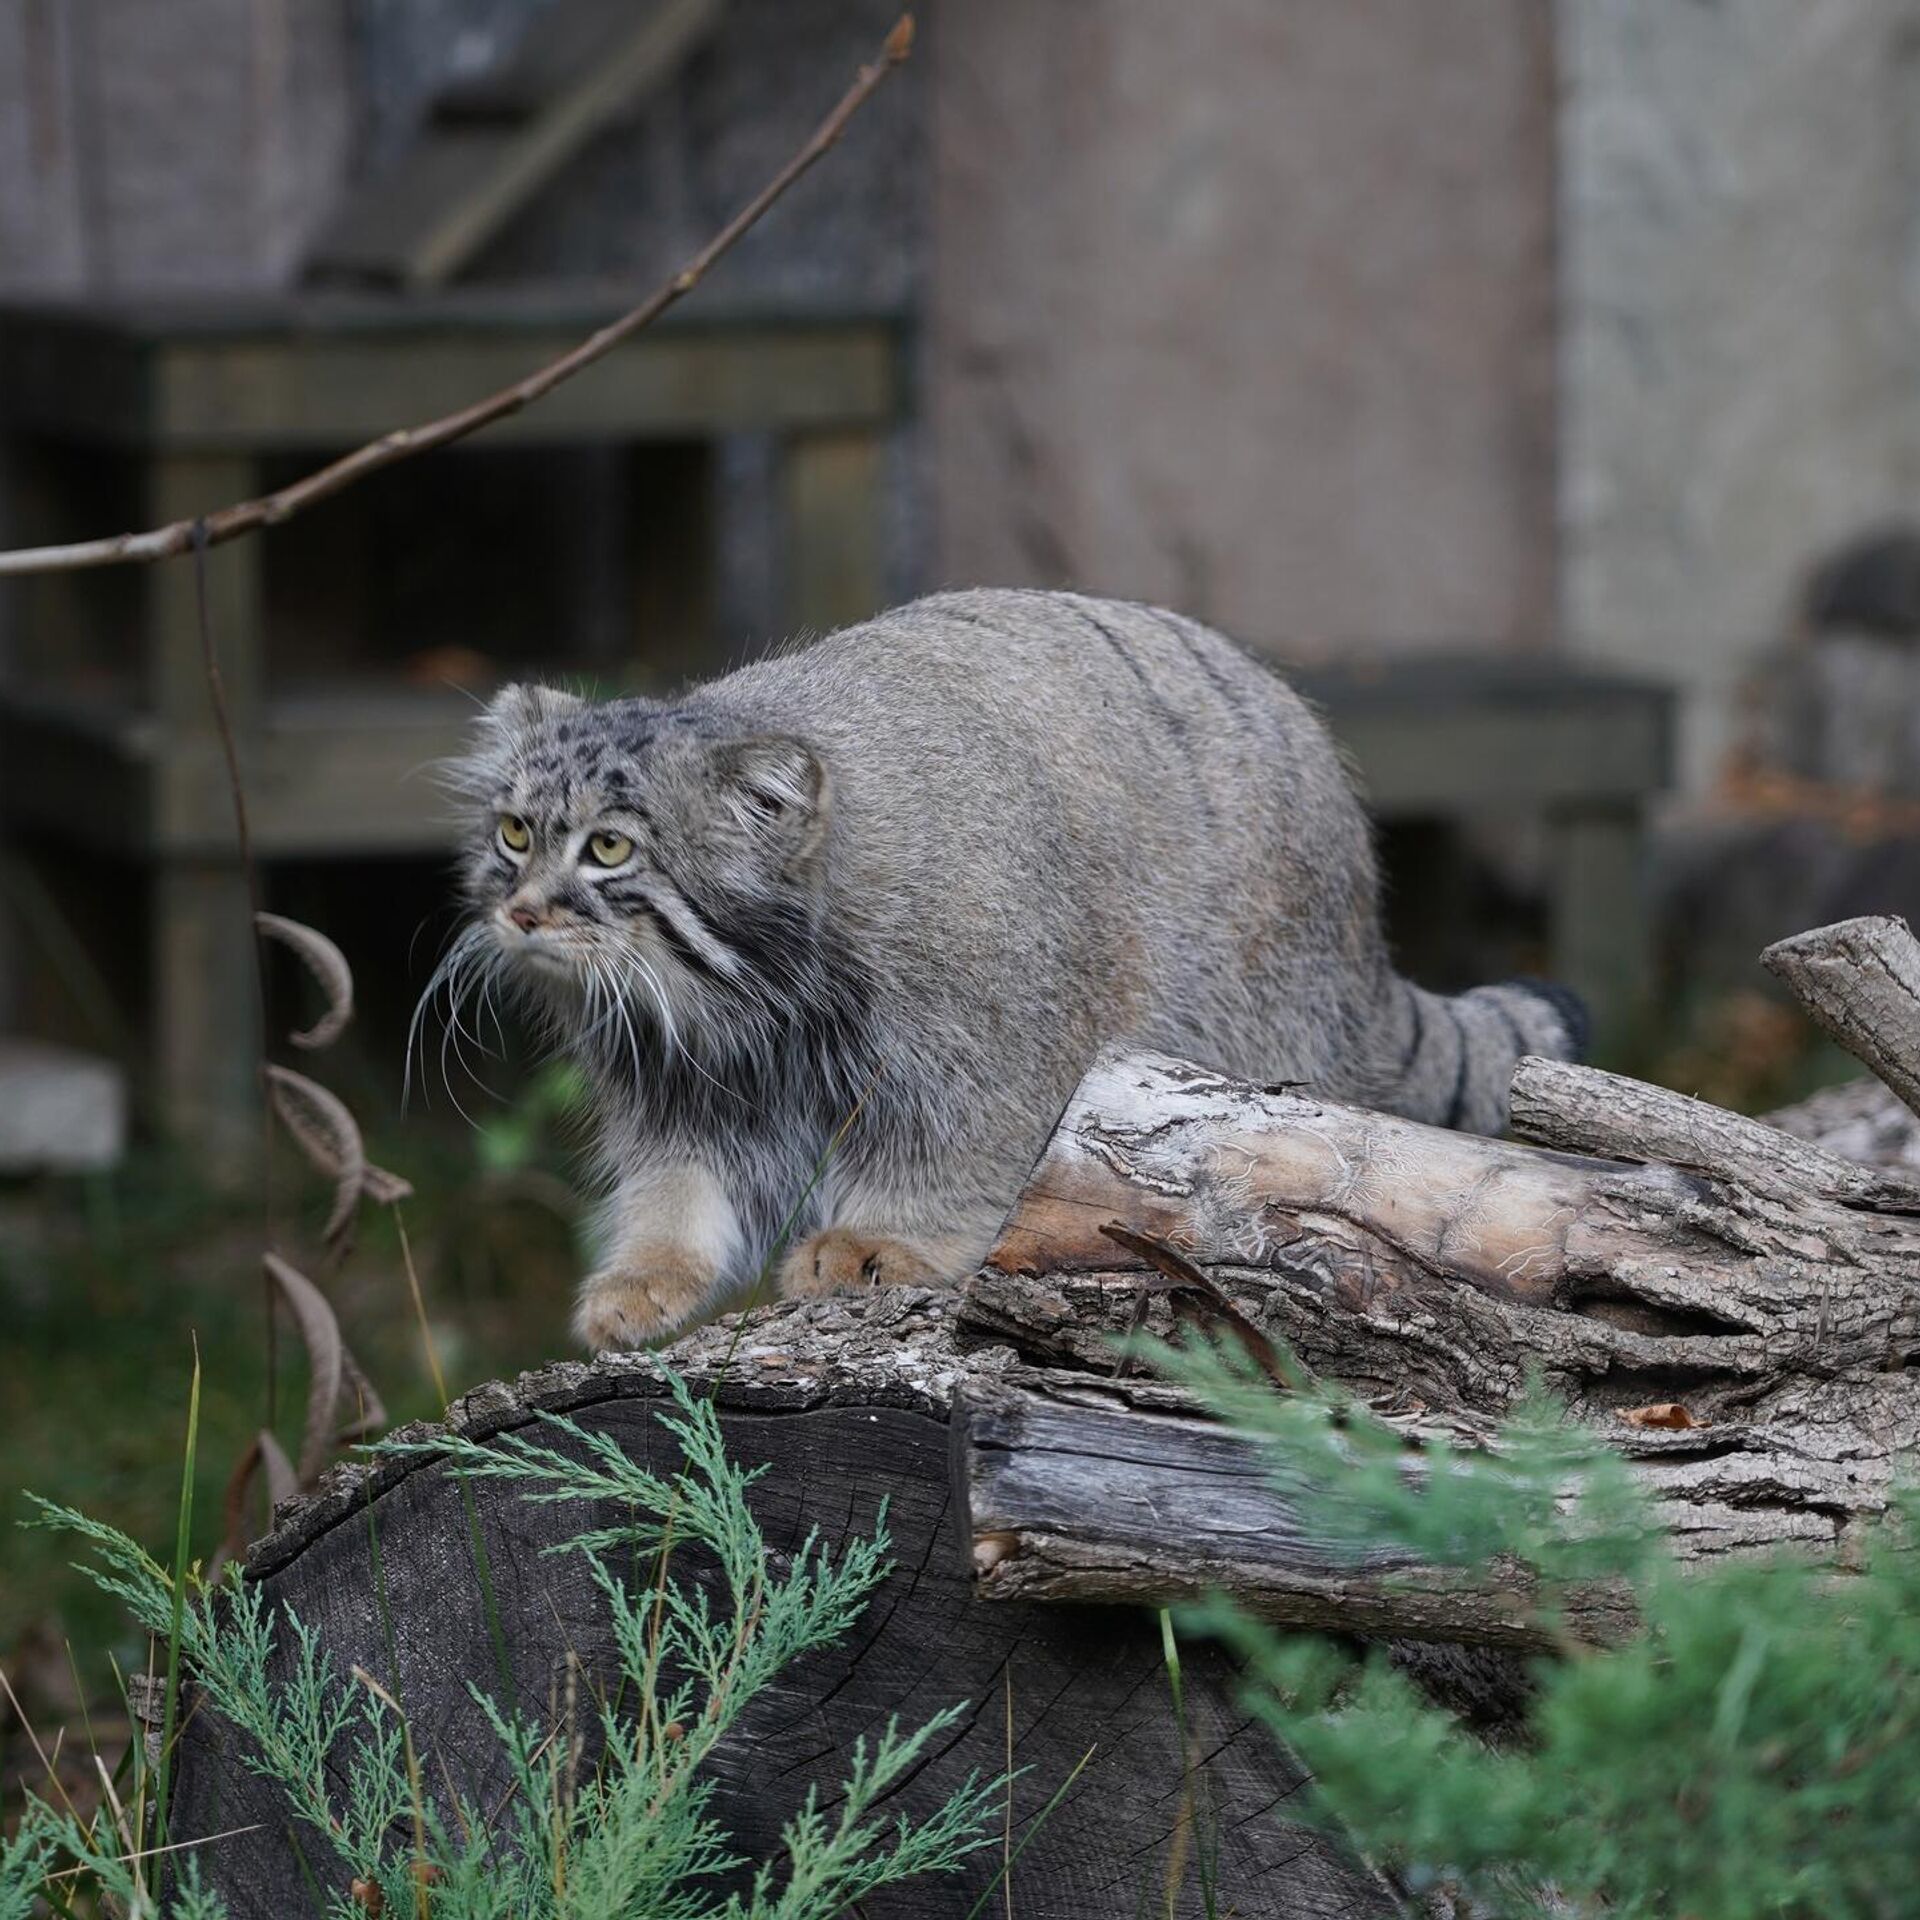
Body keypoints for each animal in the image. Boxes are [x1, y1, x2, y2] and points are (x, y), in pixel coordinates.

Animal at [435, 583, 1589, 1351]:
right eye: (513, 833)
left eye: (608, 849)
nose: (520, 912)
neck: (750, 990)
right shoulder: (681, 1080)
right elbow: (680, 1187)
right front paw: (645, 1276)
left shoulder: (986, 1050)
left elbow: (949, 1154)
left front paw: (883, 1241)